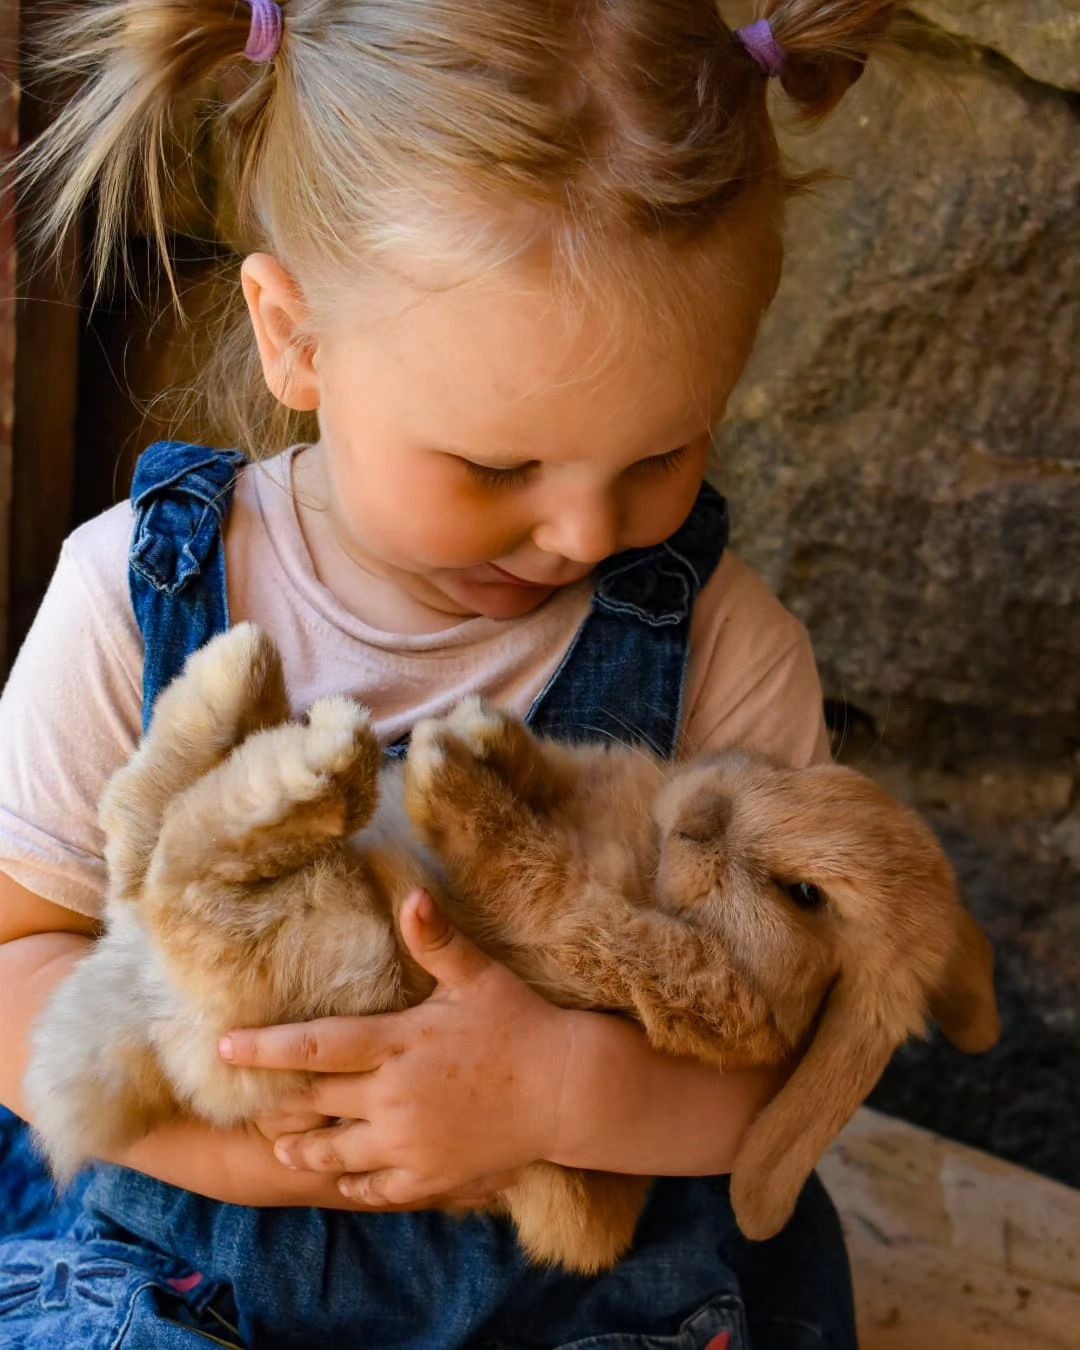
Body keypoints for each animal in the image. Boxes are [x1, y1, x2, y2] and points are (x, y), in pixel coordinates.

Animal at [25, 622, 1000, 1273]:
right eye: (816, 772)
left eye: (806, 899)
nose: (702, 811)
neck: (651, 859)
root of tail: (141, 1020)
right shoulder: (597, 786)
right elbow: (552, 773)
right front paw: (482, 731)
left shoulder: (611, 950)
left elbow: (539, 885)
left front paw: (448, 775)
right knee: (139, 830)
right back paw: (239, 679)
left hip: (326, 940)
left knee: (181, 865)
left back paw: (317, 751)